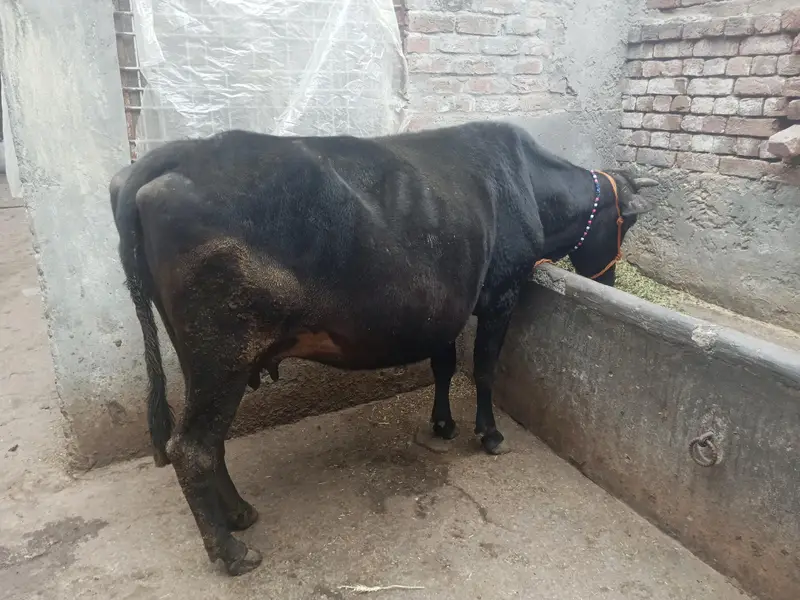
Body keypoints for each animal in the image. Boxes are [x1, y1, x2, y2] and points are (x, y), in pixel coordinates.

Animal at [109, 120, 657, 576]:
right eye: (625, 223)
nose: (610, 281)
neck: (528, 184)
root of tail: (163, 159)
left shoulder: (444, 308)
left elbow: (444, 365)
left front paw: (443, 424)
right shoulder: (501, 293)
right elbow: (483, 370)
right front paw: (489, 434)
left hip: (202, 356)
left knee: (210, 441)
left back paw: (241, 514)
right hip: (221, 352)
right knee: (192, 447)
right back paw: (233, 551)